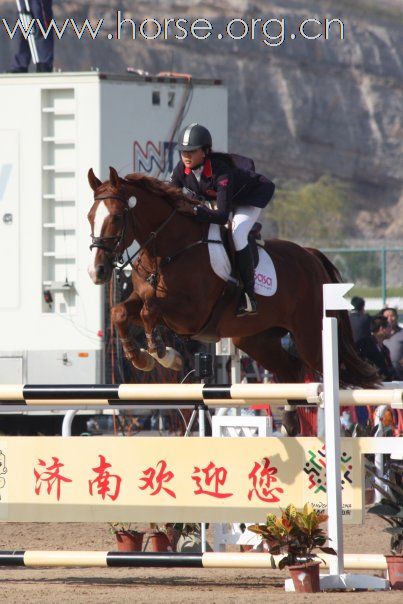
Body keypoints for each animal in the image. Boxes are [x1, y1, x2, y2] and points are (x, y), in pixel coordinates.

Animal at [87, 166, 380, 430]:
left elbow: (150, 311)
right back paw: (289, 423)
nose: (97, 271)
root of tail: (311, 256)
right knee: (292, 369)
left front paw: (164, 354)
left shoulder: (191, 314)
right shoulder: (142, 297)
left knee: (338, 376)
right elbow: (121, 312)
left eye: (116, 217)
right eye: (90, 217)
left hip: (310, 338)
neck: (168, 250)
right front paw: (141, 358)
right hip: (256, 339)